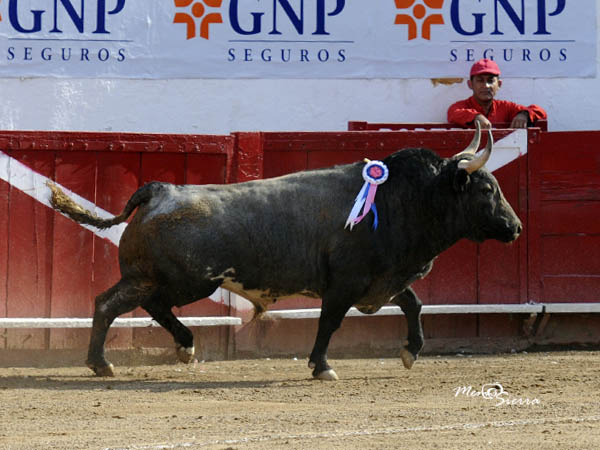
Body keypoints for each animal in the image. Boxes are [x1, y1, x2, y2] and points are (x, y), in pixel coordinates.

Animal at [50, 126, 520, 380]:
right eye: (486, 189)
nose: (515, 228)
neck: (399, 200)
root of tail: (159, 190)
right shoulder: (345, 284)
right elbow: (330, 323)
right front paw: (321, 366)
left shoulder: (383, 279)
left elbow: (414, 304)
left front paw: (411, 352)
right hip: (179, 281)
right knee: (112, 304)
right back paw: (102, 363)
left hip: (165, 280)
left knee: (138, 306)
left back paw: (181, 347)